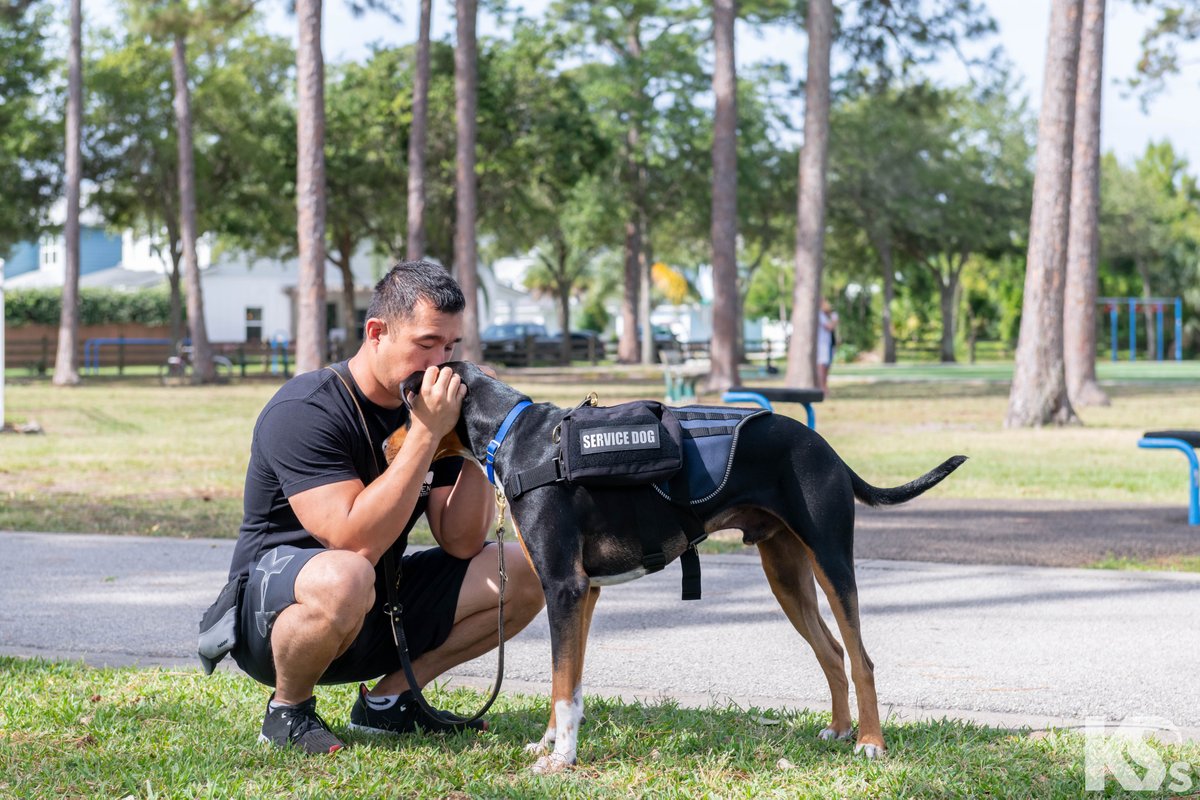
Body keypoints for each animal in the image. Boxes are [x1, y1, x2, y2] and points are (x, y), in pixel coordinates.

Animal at [388, 364, 969, 777]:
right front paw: (552, 744)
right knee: (832, 652)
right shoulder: (583, 595)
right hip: (785, 574)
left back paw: (870, 743)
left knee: (860, 656)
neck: (516, 438)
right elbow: (568, 683)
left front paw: (561, 760)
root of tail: (825, 447)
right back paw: (840, 731)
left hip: (830, 559)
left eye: (410, 408)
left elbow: (562, 685)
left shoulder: (565, 588)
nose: (390, 449)